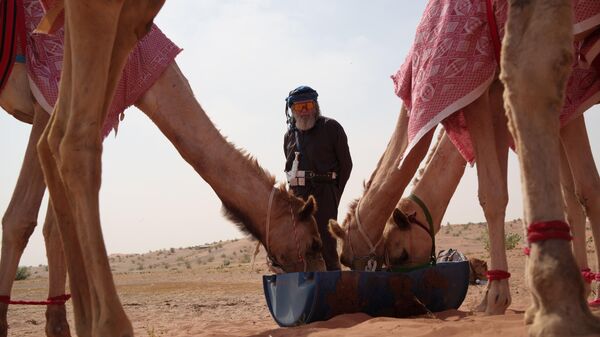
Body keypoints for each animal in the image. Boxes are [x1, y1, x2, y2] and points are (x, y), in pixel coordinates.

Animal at [1, 1, 324, 334]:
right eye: (314, 243)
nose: (322, 277)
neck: (150, 82)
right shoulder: (48, 92)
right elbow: (29, 211)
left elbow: (44, 213)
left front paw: (61, 324)